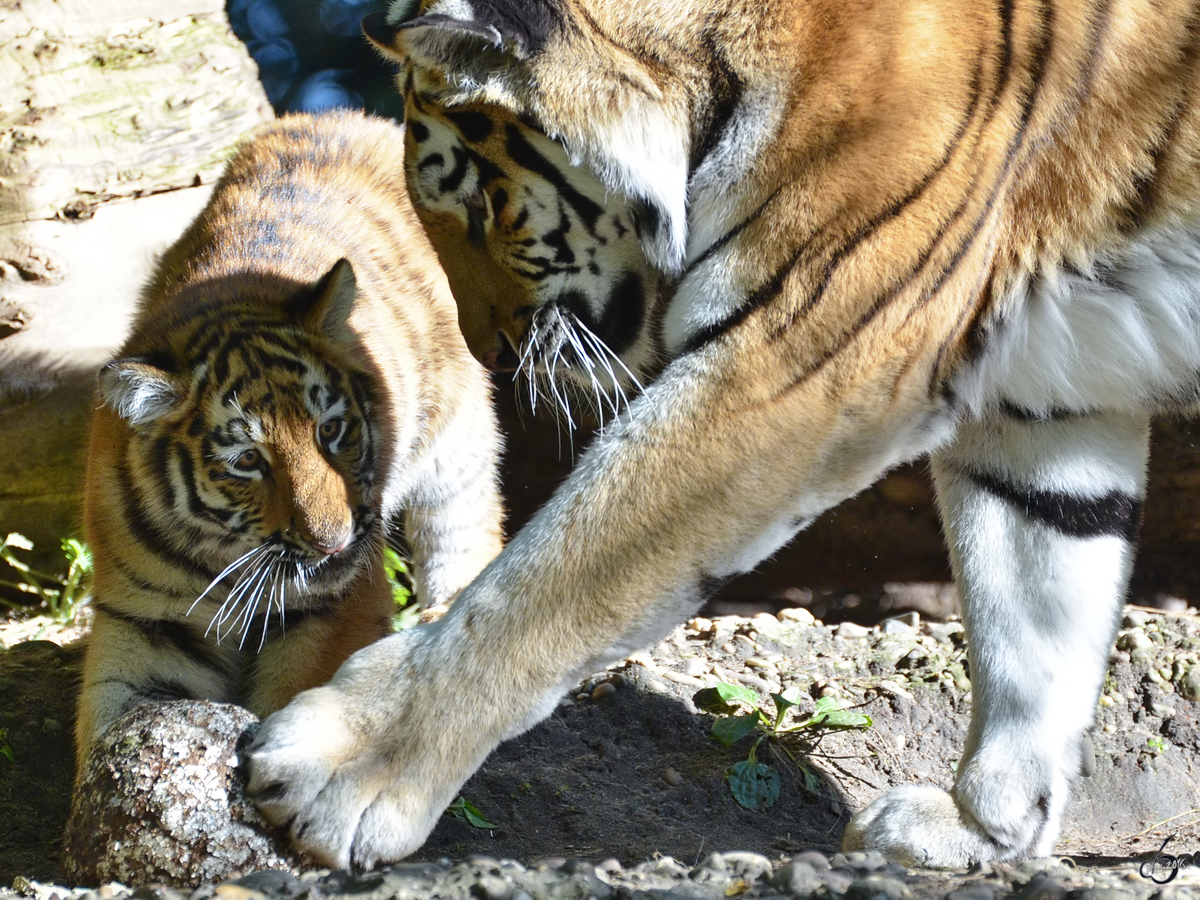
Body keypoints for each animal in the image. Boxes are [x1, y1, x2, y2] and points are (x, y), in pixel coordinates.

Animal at [76, 111, 501, 777]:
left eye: (329, 430)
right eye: (248, 461)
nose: (336, 543)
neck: (223, 559)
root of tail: (358, 118)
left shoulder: (335, 604)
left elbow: (297, 693)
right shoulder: (144, 621)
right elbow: (113, 718)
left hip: (454, 437)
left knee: (467, 522)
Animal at [243, 0, 1200, 868]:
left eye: (479, 199)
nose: (489, 352)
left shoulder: (795, 364)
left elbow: (541, 588)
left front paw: (345, 768)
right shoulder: (1045, 399)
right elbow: (1035, 619)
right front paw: (980, 828)